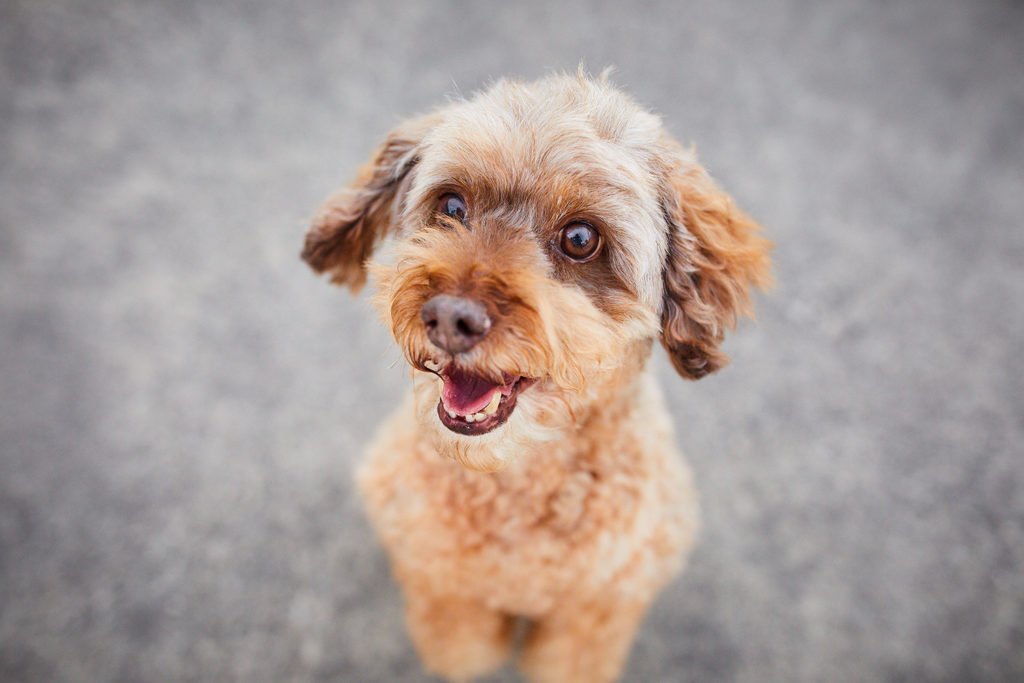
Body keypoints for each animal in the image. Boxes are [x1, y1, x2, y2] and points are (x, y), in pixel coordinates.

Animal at [299, 72, 770, 683]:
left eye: (580, 239)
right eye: (452, 204)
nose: (449, 316)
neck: (516, 484)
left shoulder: (596, 609)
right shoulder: (444, 584)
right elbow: (463, 647)